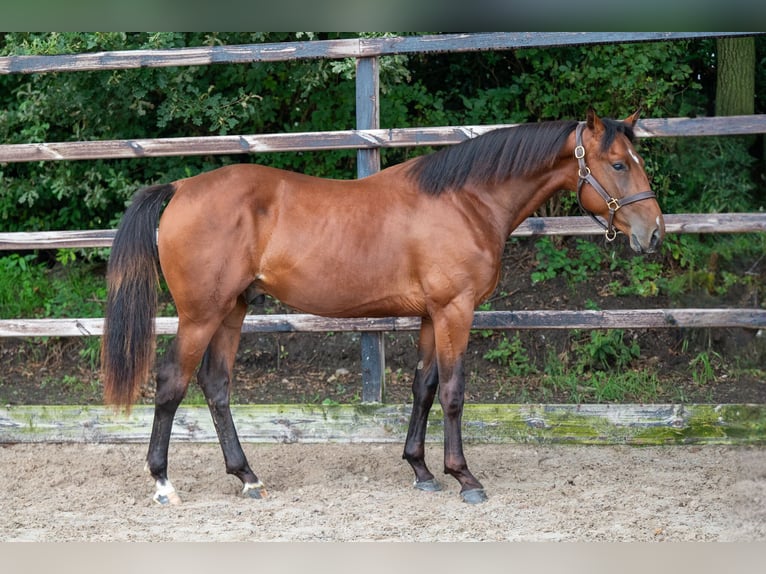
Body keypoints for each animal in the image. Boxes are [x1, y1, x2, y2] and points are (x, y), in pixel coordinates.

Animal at [102, 108, 664, 504]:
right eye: (618, 164)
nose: (654, 233)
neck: (465, 201)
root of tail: (179, 188)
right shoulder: (456, 310)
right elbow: (454, 392)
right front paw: (465, 477)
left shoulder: (431, 314)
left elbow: (424, 387)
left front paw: (421, 469)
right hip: (201, 314)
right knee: (172, 382)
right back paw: (163, 483)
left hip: (232, 310)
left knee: (216, 385)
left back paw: (247, 477)